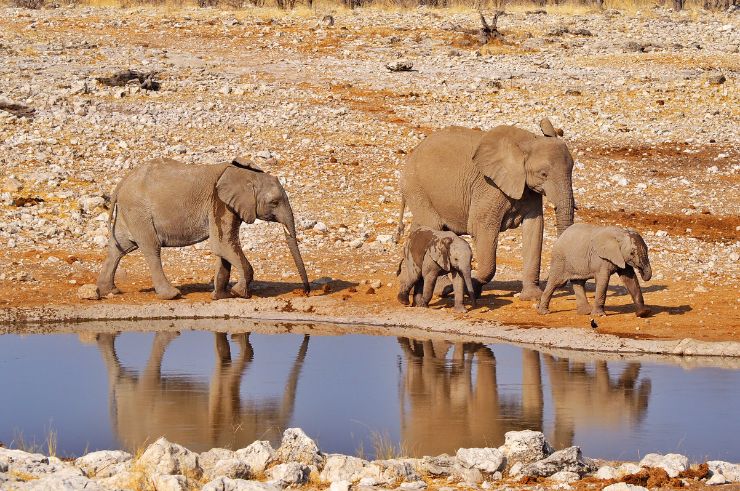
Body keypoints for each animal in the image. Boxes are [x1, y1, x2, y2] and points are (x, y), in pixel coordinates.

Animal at [96, 160, 310, 302]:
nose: (306, 292)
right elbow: (221, 245)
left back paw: (109, 291)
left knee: (119, 248)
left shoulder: (227, 207)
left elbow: (225, 248)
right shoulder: (219, 203)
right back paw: (172, 295)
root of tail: (122, 182)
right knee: (151, 248)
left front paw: (221, 296)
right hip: (139, 211)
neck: (246, 175)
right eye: (274, 202)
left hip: (129, 213)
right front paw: (239, 293)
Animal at [396, 120, 576, 304]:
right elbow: (482, 227)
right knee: (434, 228)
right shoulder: (490, 187)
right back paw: (442, 289)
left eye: (572, 170)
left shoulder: (527, 188)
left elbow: (535, 227)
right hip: (417, 188)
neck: (528, 141)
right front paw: (471, 288)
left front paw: (532, 297)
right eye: (543, 174)